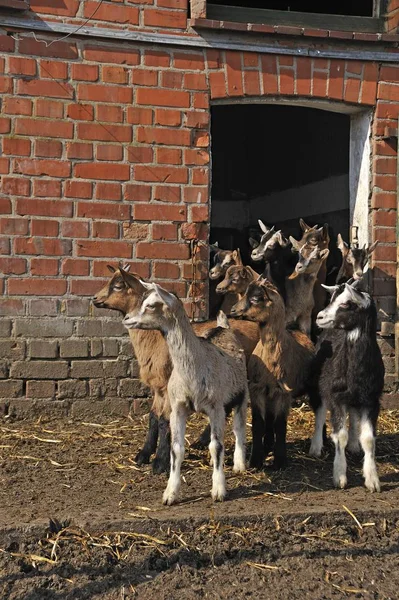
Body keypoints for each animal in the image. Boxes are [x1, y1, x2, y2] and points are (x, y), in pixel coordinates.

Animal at [92, 262, 258, 474]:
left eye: (119, 285)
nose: (95, 299)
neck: (154, 341)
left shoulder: (168, 385)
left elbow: (165, 421)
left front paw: (160, 462)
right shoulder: (157, 387)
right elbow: (153, 417)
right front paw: (143, 454)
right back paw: (202, 441)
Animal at [125, 282, 250, 506]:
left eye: (151, 305)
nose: (127, 319)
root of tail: (223, 327)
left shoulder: (215, 406)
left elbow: (216, 446)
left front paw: (219, 490)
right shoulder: (178, 407)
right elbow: (177, 448)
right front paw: (170, 493)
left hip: (241, 393)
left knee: (239, 427)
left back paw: (239, 463)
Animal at [231, 278, 316, 472]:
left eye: (256, 298)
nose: (232, 310)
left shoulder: (284, 392)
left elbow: (280, 425)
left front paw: (280, 461)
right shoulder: (258, 389)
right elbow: (258, 424)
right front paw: (255, 460)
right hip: (269, 394)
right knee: (268, 419)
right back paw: (267, 445)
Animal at [308, 282, 386, 492]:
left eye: (346, 304)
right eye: (332, 298)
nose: (319, 317)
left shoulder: (371, 400)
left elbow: (368, 439)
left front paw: (372, 479)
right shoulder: (336, 396)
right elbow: (339, 436)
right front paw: (340, 476)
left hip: (354, 397)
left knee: (353, 415)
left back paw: (353, 444)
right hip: (318, 385)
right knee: (319, 412)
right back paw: (316, 447)